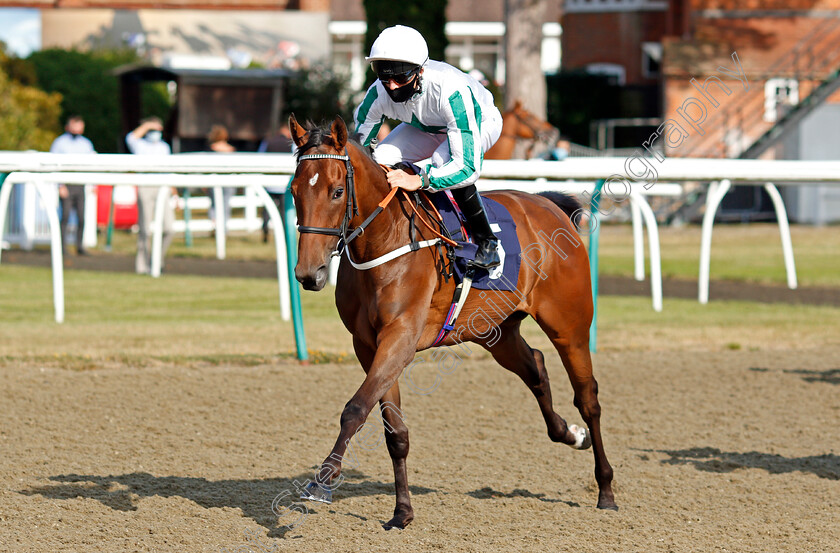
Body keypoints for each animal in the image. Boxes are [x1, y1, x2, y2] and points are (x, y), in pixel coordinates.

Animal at [286, 114, 612, 528]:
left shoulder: (400, 337)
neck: (386, 240)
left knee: (589, 398)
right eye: (295, 190)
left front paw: (323, 481)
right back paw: (571, 434)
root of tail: (546, 204)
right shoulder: (369, 344)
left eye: (337, 191)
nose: (308, 274)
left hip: (569, 326)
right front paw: (402, 511)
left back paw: (606, 489)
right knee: (536, 367)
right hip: (496, 331)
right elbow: (394, 431)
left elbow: (356, 409)